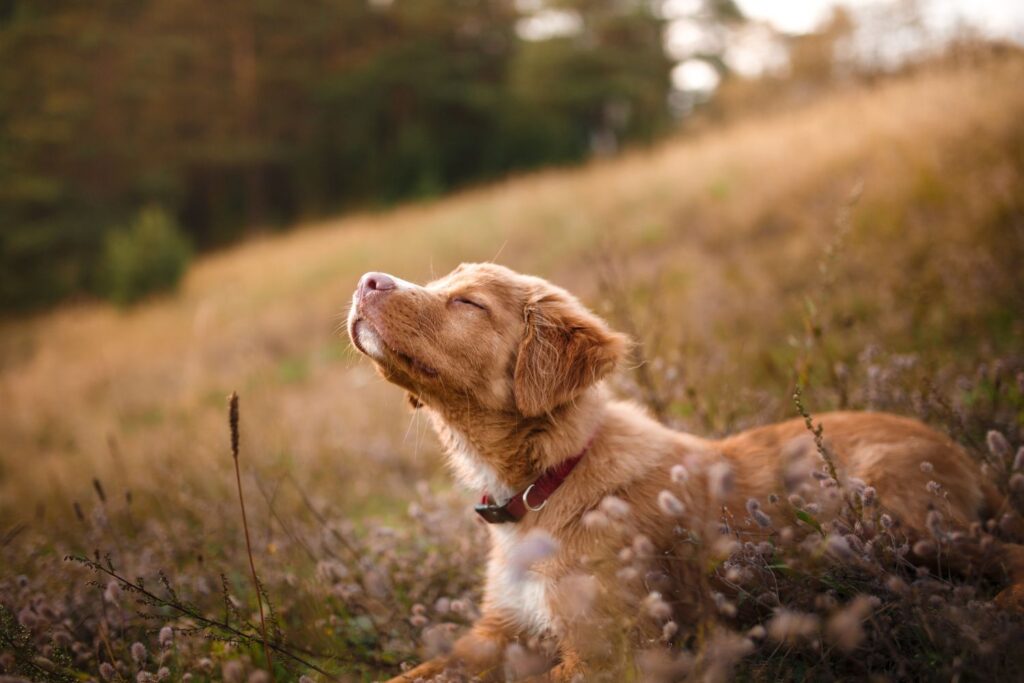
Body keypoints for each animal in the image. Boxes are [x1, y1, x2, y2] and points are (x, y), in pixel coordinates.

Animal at [346, 264, 1024, 683]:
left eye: (467, 302)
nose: (366, 281)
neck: (544, 484)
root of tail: (955, 448)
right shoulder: (492, 633)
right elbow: (410, 675)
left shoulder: (610, 652)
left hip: (900, 517)